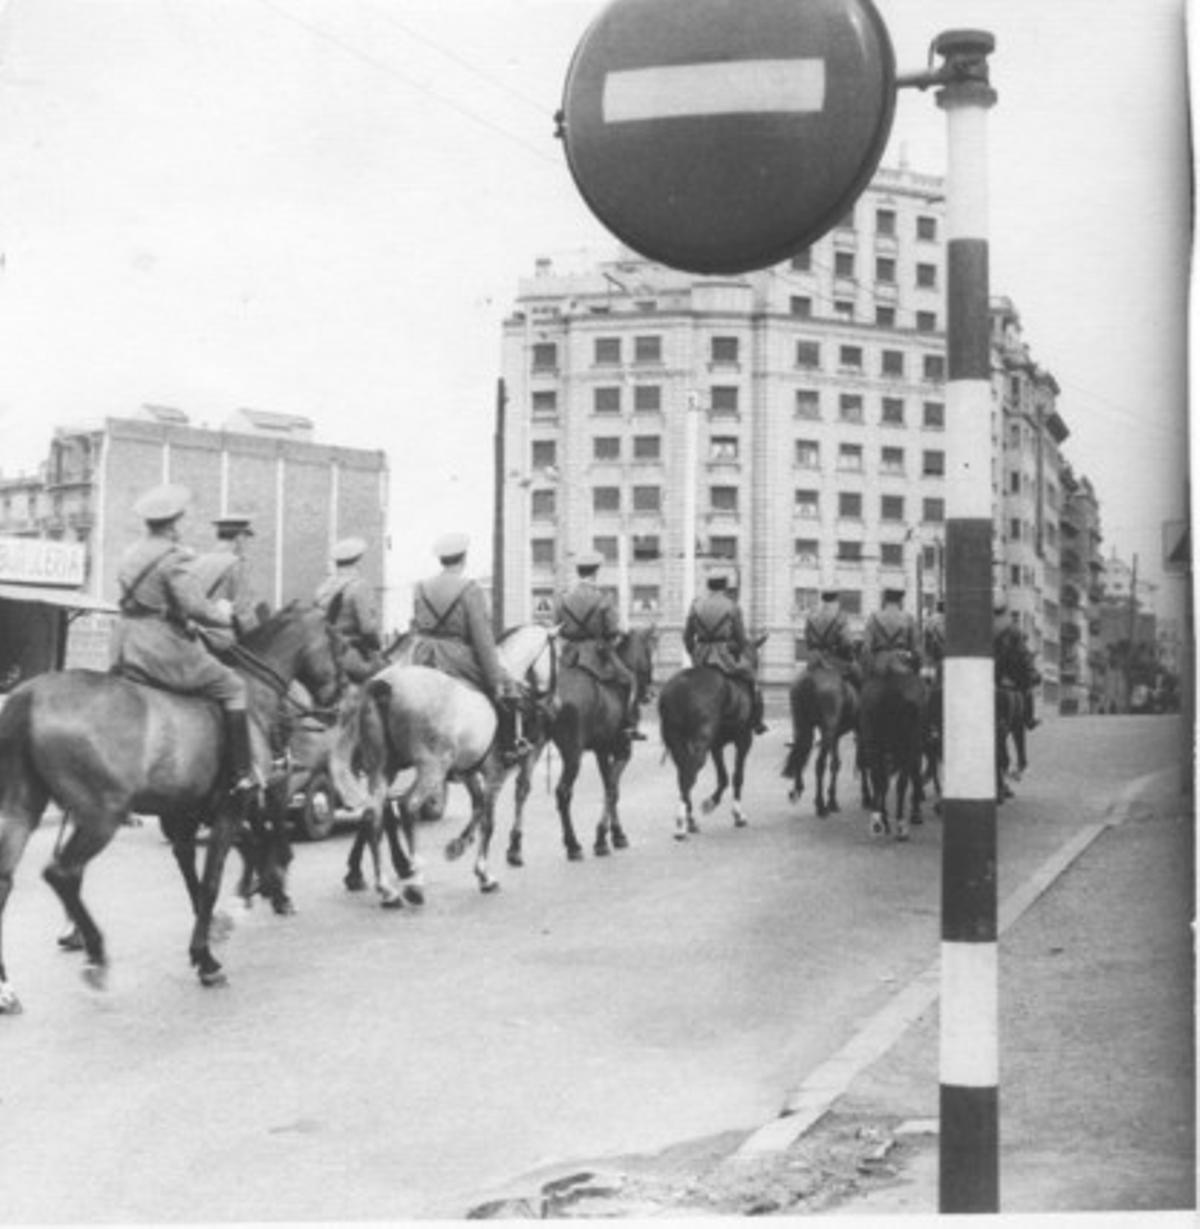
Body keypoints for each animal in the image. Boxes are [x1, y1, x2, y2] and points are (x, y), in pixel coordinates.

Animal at [1, 599, 346, 1012]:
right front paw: (208, 957)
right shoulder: (230, 810)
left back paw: (9, 987)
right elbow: (213, 878)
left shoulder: (186, 816)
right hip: (101, 816)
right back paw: (96, 954)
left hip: (22, 811)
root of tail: (27, 697)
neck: (254, 698)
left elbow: (199, 872)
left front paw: (218, 927)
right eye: (337, 643)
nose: (334, 705)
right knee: (63, 873)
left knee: (7, 879)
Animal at [504, 629, 659, 870]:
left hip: (535, 744)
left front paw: (615, 834)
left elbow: (609, 787)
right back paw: (573, 844)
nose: (651, 692)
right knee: (562, 792)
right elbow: (612, 789)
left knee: (522, 787)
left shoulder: (602, 752)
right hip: (572, 753)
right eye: (648, 652)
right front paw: (603, 837)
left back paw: (514, 848)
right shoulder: (623, 751)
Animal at [654, 639, 767, 840]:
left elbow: (723, 777)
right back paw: (681, 823)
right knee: (689, 775)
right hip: (700, 744)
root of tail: (679, 687)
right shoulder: (744, 740)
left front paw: (711, 803)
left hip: (677, 742)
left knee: (683, 776)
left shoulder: (716, 746)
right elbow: (737, 776)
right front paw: (737, 814)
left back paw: (689, 821)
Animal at [781, 658, 855, 820]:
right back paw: (820, 805)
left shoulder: (835, 736)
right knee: (819, 764)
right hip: (827, 729)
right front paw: (832, 801)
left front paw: (832, 800)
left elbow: (835, 763)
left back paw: (797, 790)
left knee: (800, 750)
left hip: (801, 723)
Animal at [855, 663, 934, 845]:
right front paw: (915, 813)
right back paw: (900, 825)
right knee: (900, 782)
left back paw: (879, 821)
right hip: (906, 745)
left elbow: (882, 781)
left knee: (878, 778)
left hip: (873, 743)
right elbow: (912, 776)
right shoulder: (915, 745)